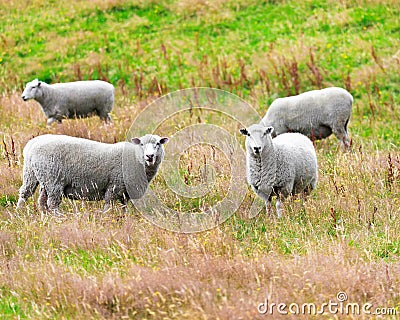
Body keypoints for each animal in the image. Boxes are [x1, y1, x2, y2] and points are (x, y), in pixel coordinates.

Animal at [15, 132, 168, 215]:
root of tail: (32, 145)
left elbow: (124, 207)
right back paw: (58, 218)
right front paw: (106, 218)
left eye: (158, 144)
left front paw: (123, 219)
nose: (149, 156)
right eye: (141, 144)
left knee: (31, 195)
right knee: (52, 202)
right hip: (53, 180)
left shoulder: (125, 192)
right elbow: (108, 204)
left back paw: (25, 214)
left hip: (35, 175)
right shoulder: (114, 186)